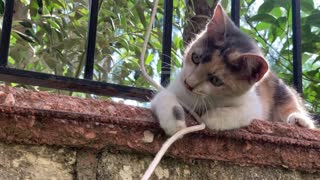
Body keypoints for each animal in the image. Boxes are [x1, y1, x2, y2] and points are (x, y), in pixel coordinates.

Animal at [152, 3, 316, 135]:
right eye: (195, 57)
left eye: (216, 80)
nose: (188, 84)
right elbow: (163, 96)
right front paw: (174, 122)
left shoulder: (253, 104)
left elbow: (244, 112)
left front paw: (212, 117)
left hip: (280, 90)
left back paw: (299, 120)